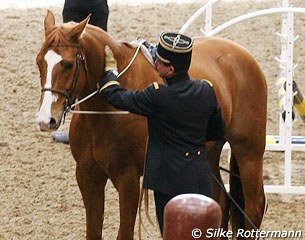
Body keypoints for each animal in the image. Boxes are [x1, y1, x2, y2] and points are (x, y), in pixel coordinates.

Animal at [35, 10, 266, 239]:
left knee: (254, 207)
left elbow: (124, 233)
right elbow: (93, 231)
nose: (46, 120)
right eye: (39, 62)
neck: (106, 110)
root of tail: (242, 54)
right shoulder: (87, 176)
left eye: (68, 64)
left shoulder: (127, 178)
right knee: (218, 201)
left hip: (248, 153)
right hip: (208, 154)